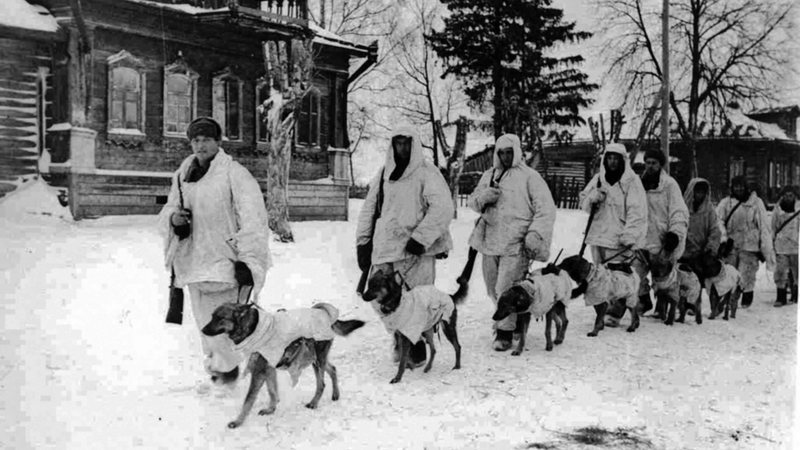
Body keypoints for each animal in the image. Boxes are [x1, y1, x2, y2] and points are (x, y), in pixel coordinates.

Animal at [202, 300, 364, 428]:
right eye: (212, 316)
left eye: (220, 318)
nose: (203, 330)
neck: (252, 328)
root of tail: (323, 312)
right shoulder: (269, 368)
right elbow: (272, 391)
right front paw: (271, 409)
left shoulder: (258, 371)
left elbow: (248, 400)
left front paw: (238, 421)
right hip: (315, 359)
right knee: (333, 369)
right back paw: (335, 394)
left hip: (317, 360)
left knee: (321, 384)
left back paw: (314, 403)